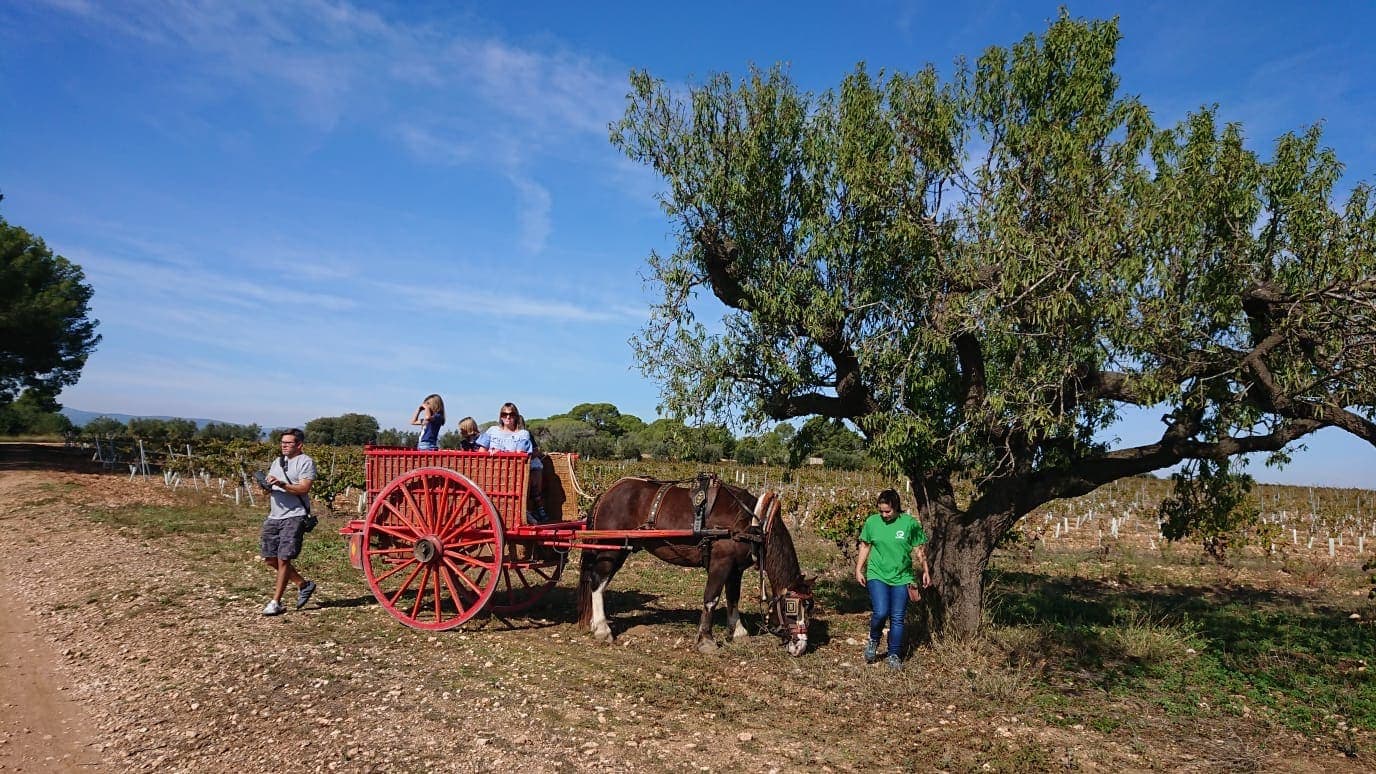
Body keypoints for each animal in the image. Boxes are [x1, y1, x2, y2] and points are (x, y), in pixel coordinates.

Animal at [575, 476, 809, 650]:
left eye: (810, 606)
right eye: (793, 606)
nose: (801, 646)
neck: (753, 523)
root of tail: (607, 493)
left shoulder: (735, 569)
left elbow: (733, 598)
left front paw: (738, 631)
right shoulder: (721, 563)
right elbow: (711, 599)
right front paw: (706, 639)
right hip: (610, 549)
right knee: (597, 583)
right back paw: (602, 629)